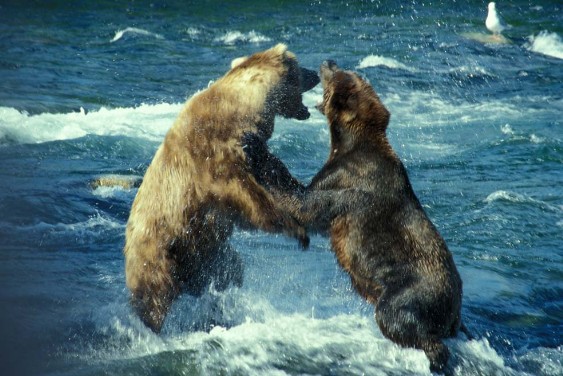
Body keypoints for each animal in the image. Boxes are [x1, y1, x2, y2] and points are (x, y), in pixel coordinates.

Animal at [125, 44, 320, 332]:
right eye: (300, 67)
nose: (316, 73)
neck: (240, 111)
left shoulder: (254, 147)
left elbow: (276, 173)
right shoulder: (212, 155)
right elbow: (247, 197)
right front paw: (297, 229)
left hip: (209, 254)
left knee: (231, 270)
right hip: (158, 253)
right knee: (153, 299)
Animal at [296, 60, 462, 372]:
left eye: (338, 75)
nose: (328, 61)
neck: (347, 141)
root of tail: (455, 306)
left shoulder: (346, 177)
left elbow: (309, 205)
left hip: (410, 290)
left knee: (397, 319)